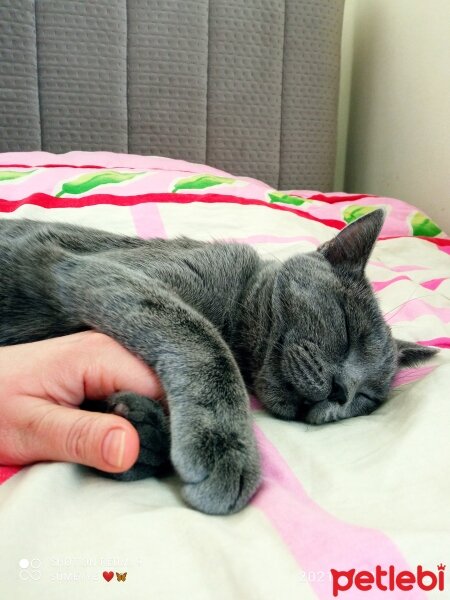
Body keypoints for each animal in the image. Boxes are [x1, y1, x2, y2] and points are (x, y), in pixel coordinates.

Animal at [0, 209, 436, 512]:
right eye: (346, 328)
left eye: (367, 398)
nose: (343, 392)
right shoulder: (97, 269)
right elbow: (204, 340)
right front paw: (223, 446)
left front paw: (138, 427)